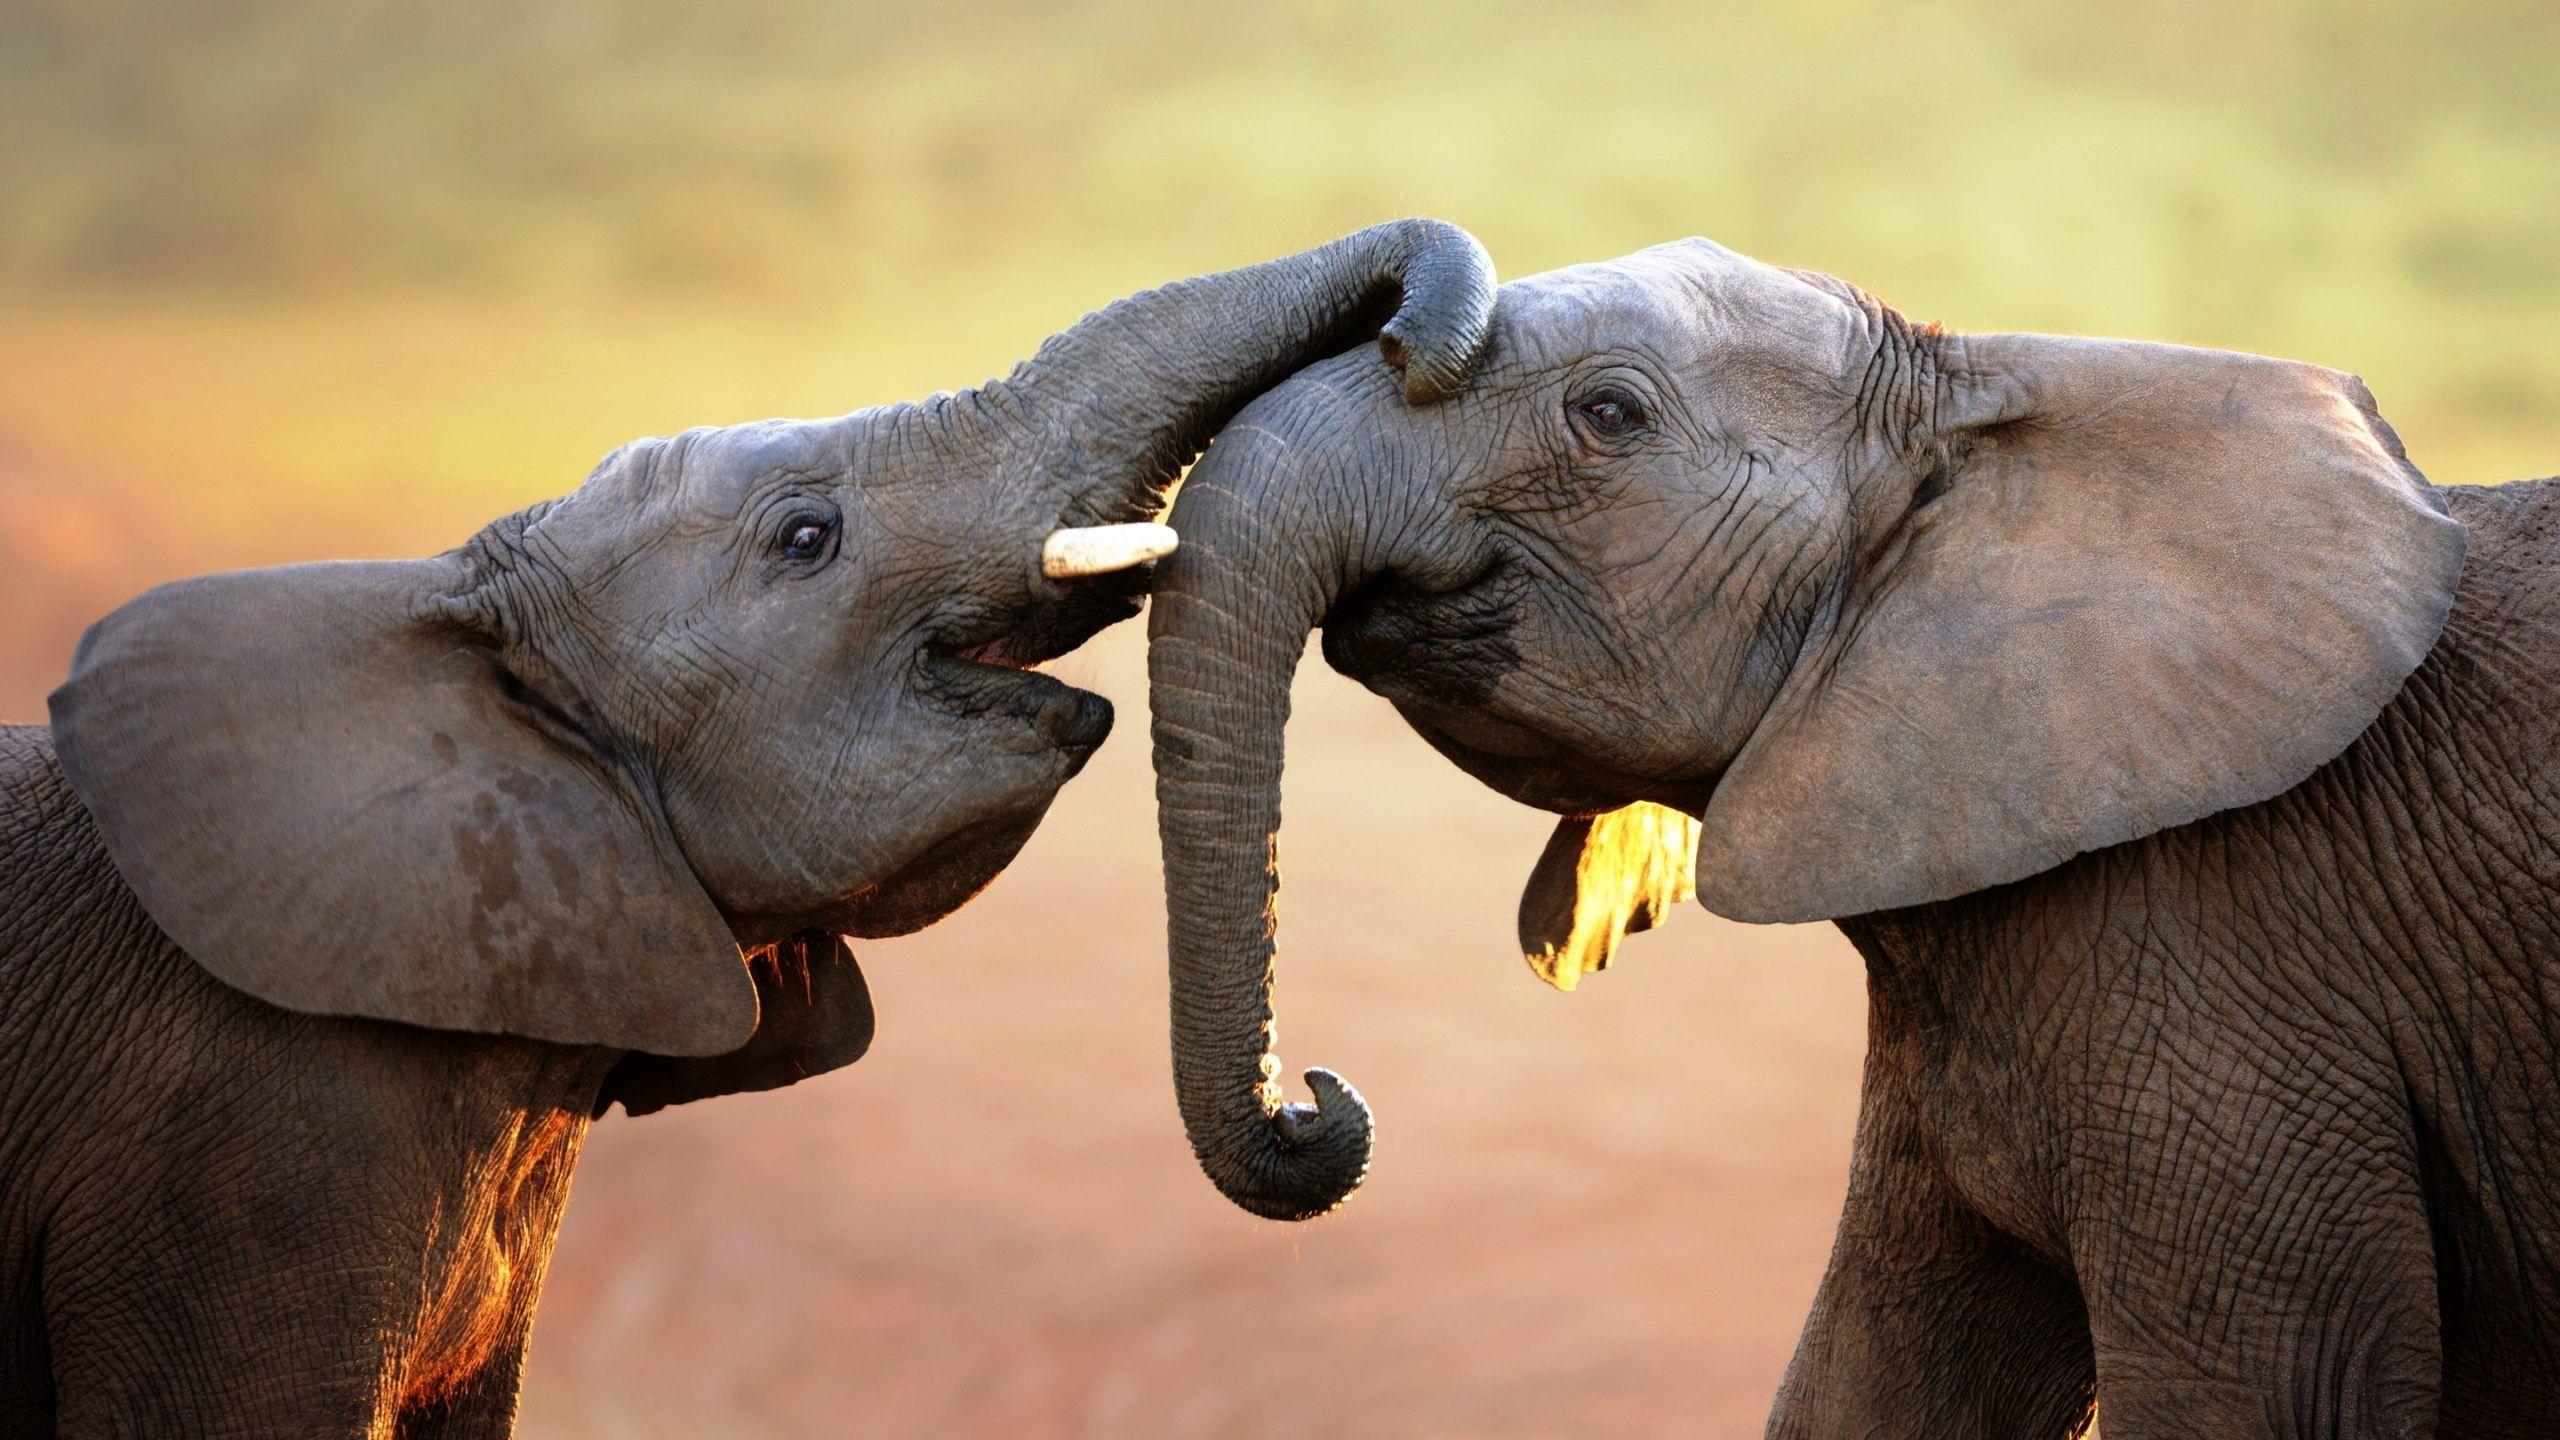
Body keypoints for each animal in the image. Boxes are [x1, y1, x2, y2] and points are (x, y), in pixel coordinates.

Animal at [1143, 237, 2560, 1437]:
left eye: (1610, 416)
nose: (1314, 1101)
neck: (1983, 397)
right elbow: (1874, 1376)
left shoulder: (2234, 957)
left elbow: (2262, 1396)